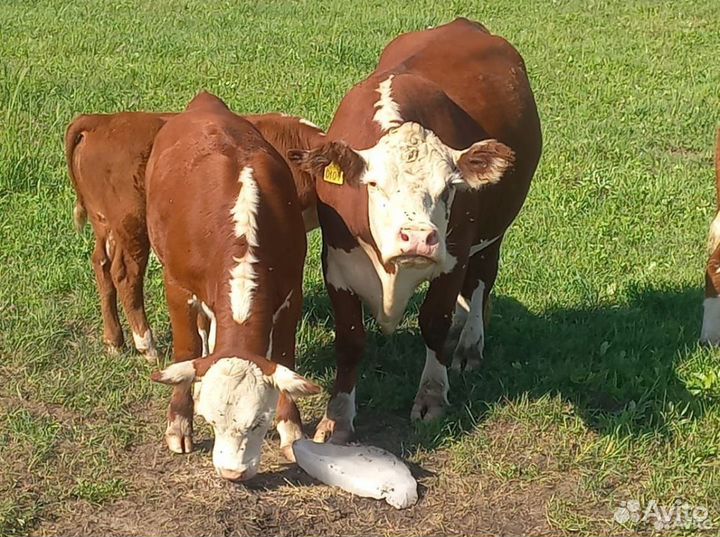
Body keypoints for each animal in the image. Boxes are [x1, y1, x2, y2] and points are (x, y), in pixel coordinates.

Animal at [65, 108, 324, 362]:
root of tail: (103, 121)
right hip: (131, 224)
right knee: (126, 274)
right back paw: (147, 346)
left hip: (105, 225)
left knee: (102, 264)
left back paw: (115, 342)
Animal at [146, 92, 321, 481]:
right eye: (211, 422)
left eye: (259, 422)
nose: (232, 473)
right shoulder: (178, 287)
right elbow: (185, 351)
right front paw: (179, 422)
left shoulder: (291, 293)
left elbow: (284, 356)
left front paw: (291, 429)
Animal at [288, 18, 542, 443]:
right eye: (375, 185)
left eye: (449, 188)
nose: (419, 239)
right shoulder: (337, 266)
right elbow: (350, 340)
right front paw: (337, 417)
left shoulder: (453, 259)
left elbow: (434, 323)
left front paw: (432, 397)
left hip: (493, 234)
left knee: (480, 283)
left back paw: (469, 345)